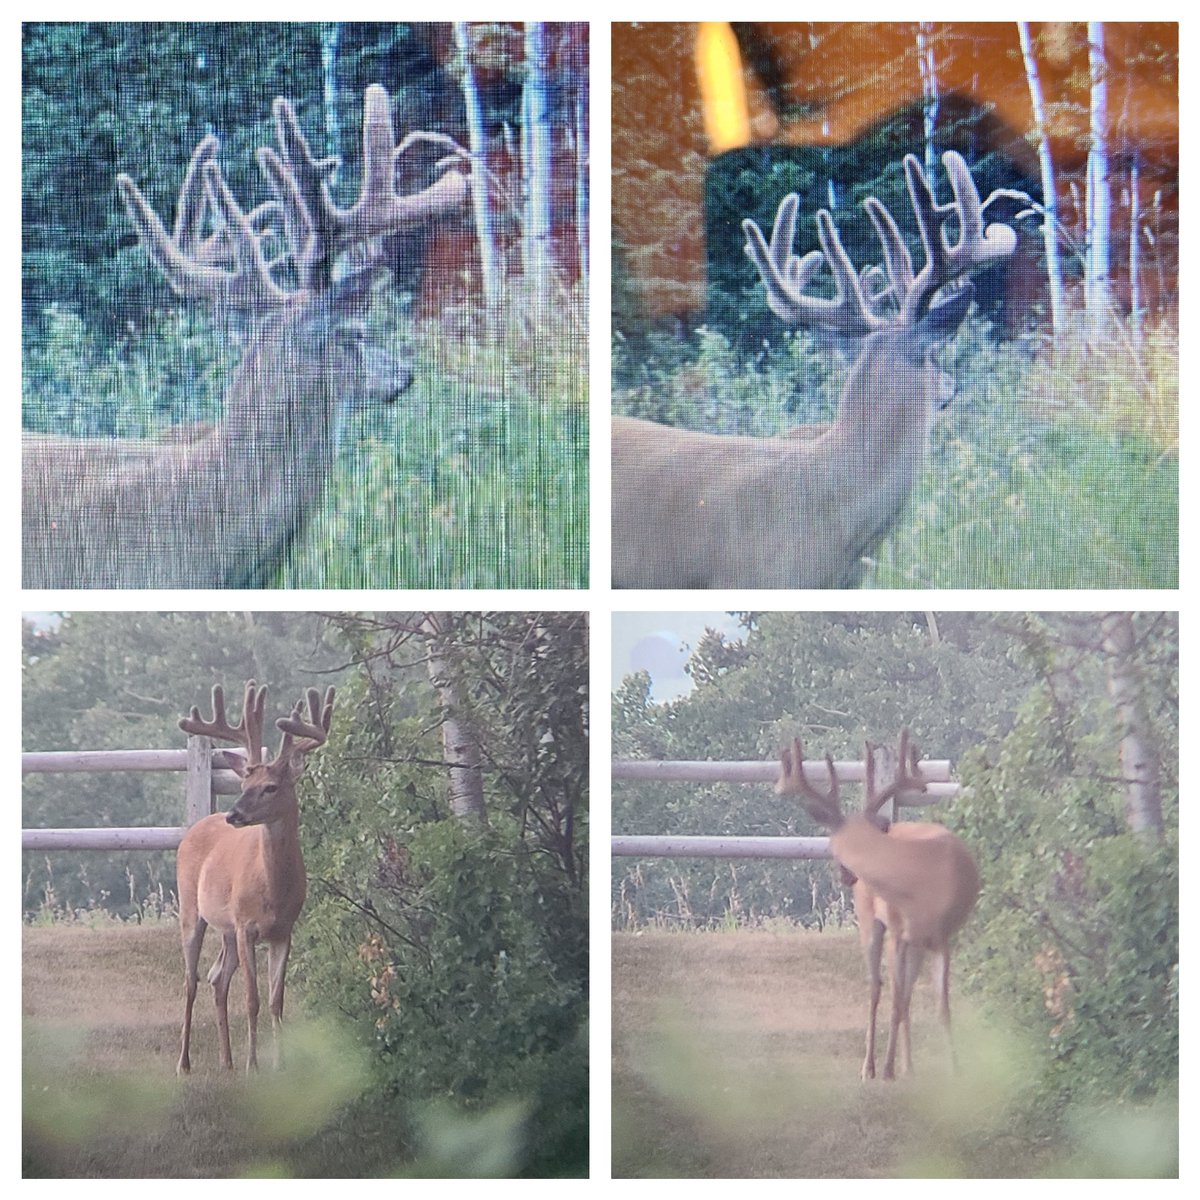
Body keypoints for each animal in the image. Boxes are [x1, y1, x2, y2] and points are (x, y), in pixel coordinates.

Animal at [175, 680, 334, 1074]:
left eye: (271, 786)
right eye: (244, 783)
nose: (234, 814)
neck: (273, 890)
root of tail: (195, 827)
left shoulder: (283, 930)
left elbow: (276, 1000)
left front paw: (279, 1065)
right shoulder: (247, 925)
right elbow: (252, 998)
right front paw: (254, 1065)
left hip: (226, 929)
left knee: (216, 978)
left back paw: (226, 1062)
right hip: (191, 910)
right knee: (190, 981)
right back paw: (184, 1063)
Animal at [777, 730, 979, 1080]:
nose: (846, 876)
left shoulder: (942, 936)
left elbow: (941, 1006)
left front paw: (955, 1070)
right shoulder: (898, 931)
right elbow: (896, 1001)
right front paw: (887, 1069)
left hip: (914, 941)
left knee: (903, 995)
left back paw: (907, 1067)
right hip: (870, 920)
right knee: (876, 988)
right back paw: (870, 1067)